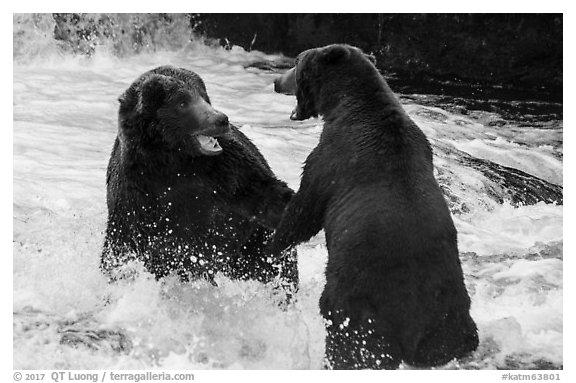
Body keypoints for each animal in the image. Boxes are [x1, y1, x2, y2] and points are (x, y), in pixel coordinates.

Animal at [103, 66, 300, 294]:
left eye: (204, 96)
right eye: (182, 102)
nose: (221, 119)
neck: (172, 160)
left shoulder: (225, 171)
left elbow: (263, 194)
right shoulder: (136, 191)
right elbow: (124, 250)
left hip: (255, 243)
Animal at [272, 44, 480, 368]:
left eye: (297, 61)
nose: (276, 81)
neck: (345, 104)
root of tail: (411, 325)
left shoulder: (333, 158)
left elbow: (306, 210)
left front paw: (273, 240)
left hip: (358, 304)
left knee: (348, 343)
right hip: (448, 316)